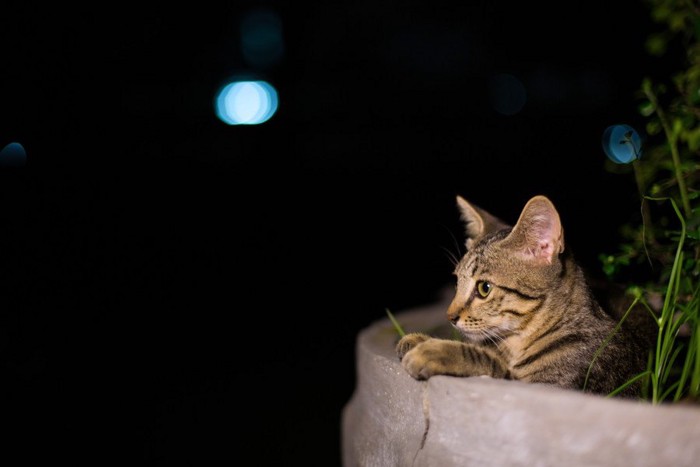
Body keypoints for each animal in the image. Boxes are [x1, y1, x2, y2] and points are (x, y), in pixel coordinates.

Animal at [396, 194, 652, 398]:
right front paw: (418, 339)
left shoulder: (549, 387)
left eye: (484, 288)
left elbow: (487, 361)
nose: (449, 317)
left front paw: (434, 350)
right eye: (457, 282)